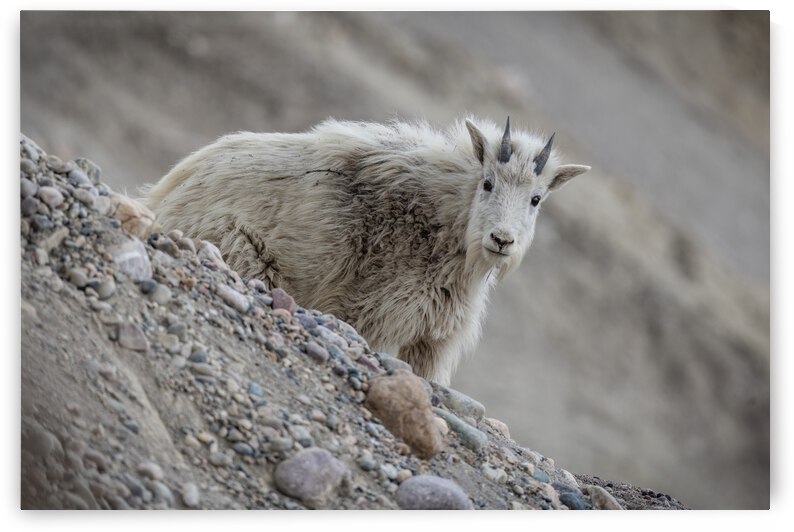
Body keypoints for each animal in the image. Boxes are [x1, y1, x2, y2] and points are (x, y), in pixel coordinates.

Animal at [143, 117, 590, 385]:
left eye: (536, 199)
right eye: (488, 183)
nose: (502, 240)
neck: (448, 228)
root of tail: (160, 197)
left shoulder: (433, 340)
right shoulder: (374, 313)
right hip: (242, 254)